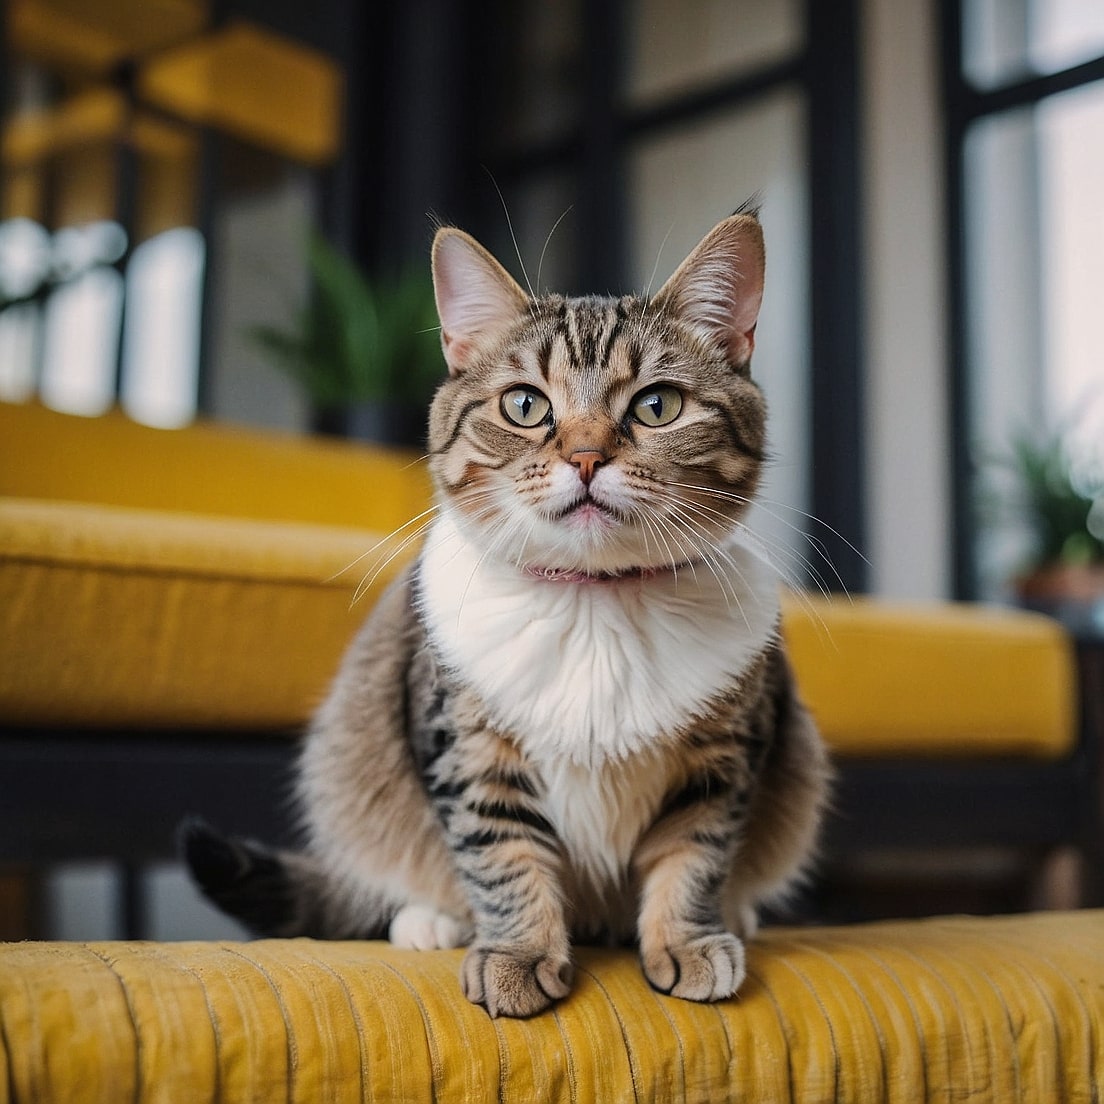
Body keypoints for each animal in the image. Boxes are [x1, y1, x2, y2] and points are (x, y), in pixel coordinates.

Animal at [185, 210, 830, 1020]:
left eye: (658, 406)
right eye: (526, 405)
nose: (586, 457)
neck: (594, 604)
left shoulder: (725, 756)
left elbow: (695, 853)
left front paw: (685, 941)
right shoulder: (464, 746)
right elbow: (503, 856)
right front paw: (518, 955)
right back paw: (430, 920)